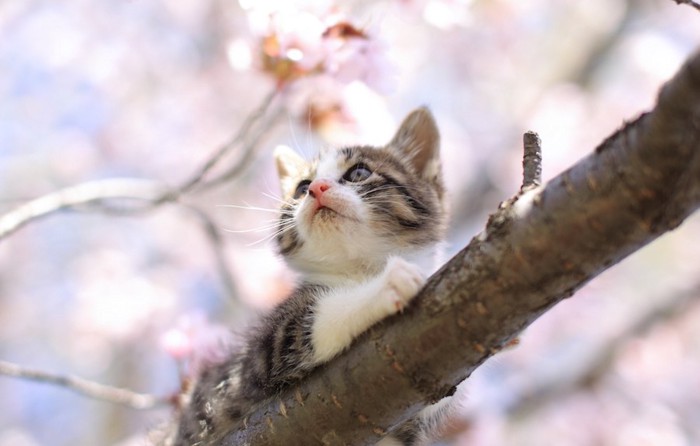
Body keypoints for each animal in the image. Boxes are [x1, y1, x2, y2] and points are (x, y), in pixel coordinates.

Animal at [170, 108, 448, 446]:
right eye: (302, 187)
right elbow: (314, 321)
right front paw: (389, 282)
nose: (316, 189)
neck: (358, 267)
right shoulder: (255, 360)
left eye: (359, 173)